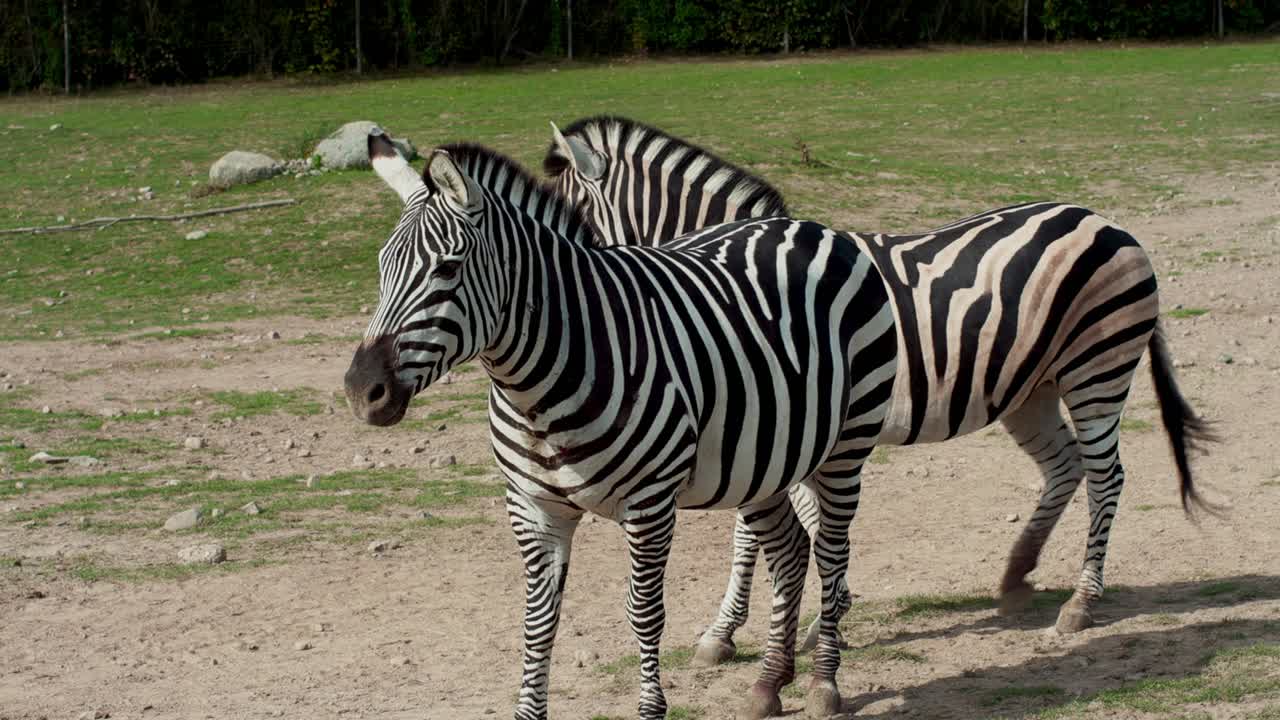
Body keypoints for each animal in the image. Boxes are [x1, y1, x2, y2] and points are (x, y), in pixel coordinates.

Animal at [343, 128, 899, 720]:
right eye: (381, 267)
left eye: (447, 268)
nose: (361, 391)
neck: (541, 384)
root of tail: (815, 227)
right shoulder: (532, 507)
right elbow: (537, 623)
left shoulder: (649, 503)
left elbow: (644, 612)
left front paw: (652, 707)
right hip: (765, 459)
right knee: (792, 552)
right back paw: (769, 683)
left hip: (845, 446)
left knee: (831, 554)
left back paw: (823, 682)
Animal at [543, 115, 1215, 663]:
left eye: (563, 228)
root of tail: (1108, 220)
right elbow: (797, 526)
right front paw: (803, 617)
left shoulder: (774, 422)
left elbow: (761, 532)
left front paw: (746, 628)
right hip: (1032, 388)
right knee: (1066, 467)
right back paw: (1017, 577)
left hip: (1096, 367)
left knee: (1107, 476)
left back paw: (1081, 601)